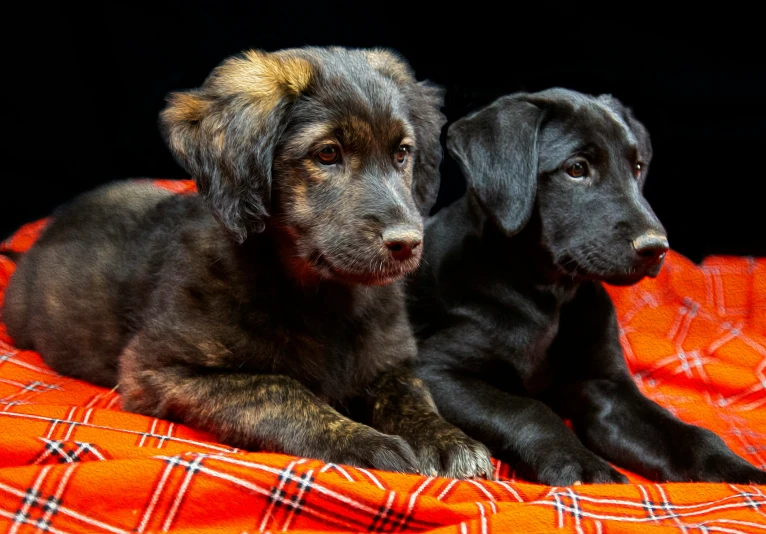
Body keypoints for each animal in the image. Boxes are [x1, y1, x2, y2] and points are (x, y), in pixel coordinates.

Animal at [3, 46, 496, 480]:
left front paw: (449, 440)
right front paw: (365, 441)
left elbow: (412, 393)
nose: (408, 244)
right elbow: (278, 390)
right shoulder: (158, 369)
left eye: (402, 153)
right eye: (327, 154)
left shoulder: (390, 361)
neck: (321, 295)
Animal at [408, 90, 766, 488]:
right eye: (576, 169)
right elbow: (527, 408)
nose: (657, 247)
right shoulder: (437, 369)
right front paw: (580, 464)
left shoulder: (607, 389)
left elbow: (688, 433)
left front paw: (741, 472)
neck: (550, 295)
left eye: (637, 167)